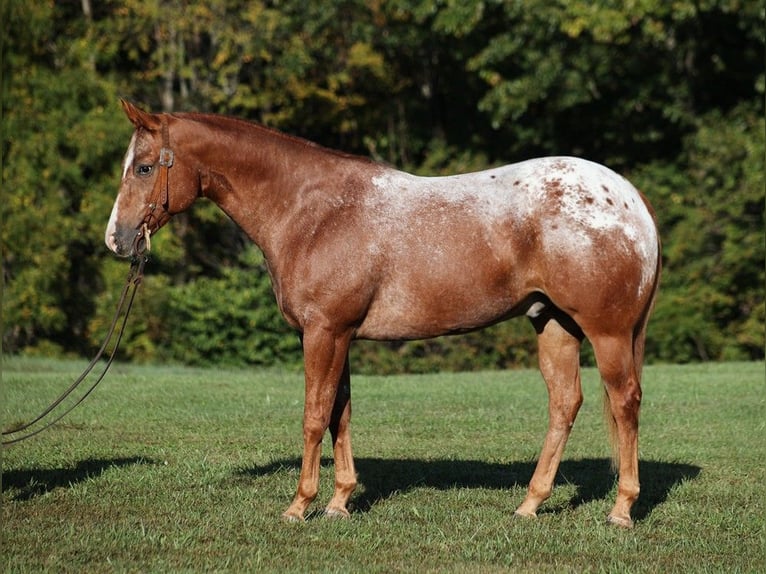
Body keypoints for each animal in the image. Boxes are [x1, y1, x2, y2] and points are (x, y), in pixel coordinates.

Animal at [106, 100, 660, 532]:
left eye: (144, 168)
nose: (117, 239)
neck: (313, 213)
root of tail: (629, 198)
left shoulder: (324, 333)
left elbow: (314, 417)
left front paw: (299, 506)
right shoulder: (338, 335)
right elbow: (340, 414)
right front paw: (338, 502)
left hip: (607, 332)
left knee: (625, 402)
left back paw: (621, 510)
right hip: (553, 324)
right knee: (565, 403)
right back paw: (530, 504)